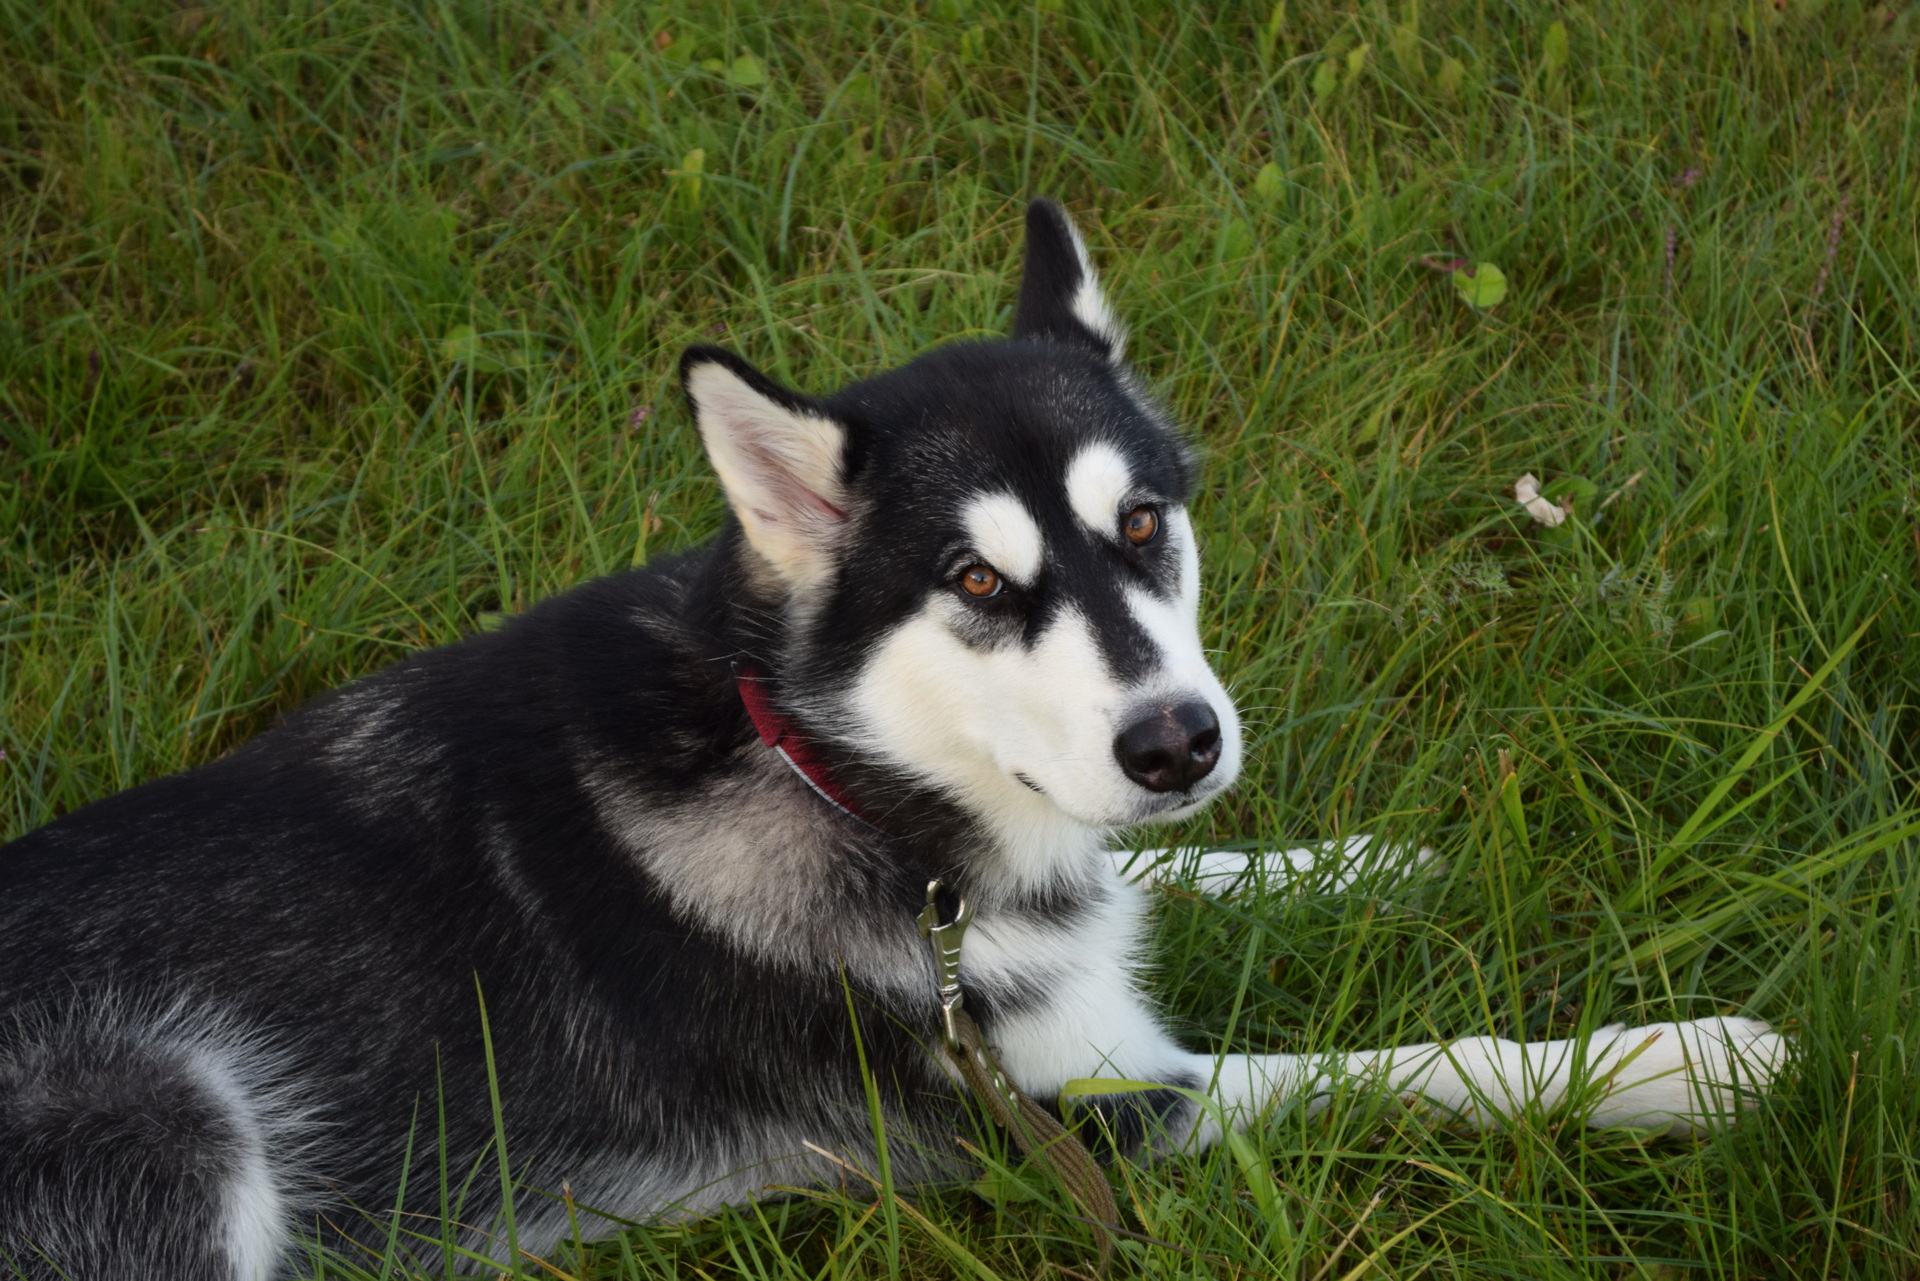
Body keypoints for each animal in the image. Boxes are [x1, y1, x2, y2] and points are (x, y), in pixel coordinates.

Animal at [0, 200, 1784, 1279]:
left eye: (1145, 523)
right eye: (980, 582)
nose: (1180, 743)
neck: (831, 773)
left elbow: (1172, 880)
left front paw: (1372, 859)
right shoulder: (1086, 1114)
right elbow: (1405, 1069)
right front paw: (1676, 1059)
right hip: (168, 1120)